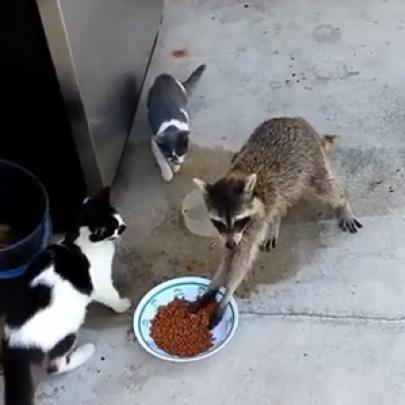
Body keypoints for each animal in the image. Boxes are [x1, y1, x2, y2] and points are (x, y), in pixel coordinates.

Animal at [1, 186, 129, 404]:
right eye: (115, 228)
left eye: (117, 214)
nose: (125, 226)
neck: (78, 243)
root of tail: (14, 342)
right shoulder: (100, 284)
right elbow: (111, 296)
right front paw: (123, 305)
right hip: (66, 333)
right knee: (56, 366)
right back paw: (85, 352)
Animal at [194, 116, 362, 326]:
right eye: (219, 222)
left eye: (237, 220)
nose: (231, 243)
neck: (238, 175)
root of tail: (297, 120)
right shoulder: (233, 231)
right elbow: (228, 258)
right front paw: (214, 285)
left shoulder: (252, 223)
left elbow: (242, 258)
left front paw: (227, 295)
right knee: (281, 202)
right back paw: (275, 222)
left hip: (311, 162)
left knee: (324, 186)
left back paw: (343, 202)